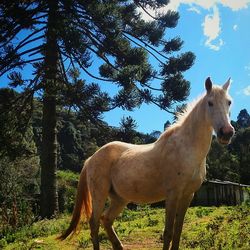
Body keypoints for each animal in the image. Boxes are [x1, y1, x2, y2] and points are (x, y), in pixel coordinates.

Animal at [59, 77, 235, 249]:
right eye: (210, 103)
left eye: (229, 102)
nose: (226, 133)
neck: (186, 148)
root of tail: (90, 159)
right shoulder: (172, 195)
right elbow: (168, 232)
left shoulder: (187, 196)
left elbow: (178, 232)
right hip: (99, 195)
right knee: (94, 224)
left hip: (119, 199)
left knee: (106, 220)